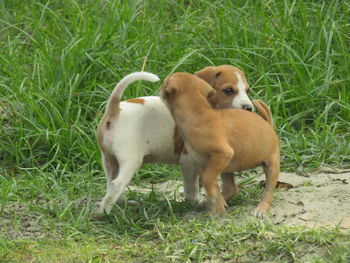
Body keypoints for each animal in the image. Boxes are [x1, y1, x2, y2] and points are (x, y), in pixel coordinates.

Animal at [95, 66, 254, 217]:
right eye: (228, 90)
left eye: (247, 91)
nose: (249, 108)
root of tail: (115, 110)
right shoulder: (189, 161)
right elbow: (191, 188)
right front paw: (194, 203)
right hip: (130, 161)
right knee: (116, 184)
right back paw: (103, 214)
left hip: (108, 160)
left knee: (110, 184)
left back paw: (122, 203)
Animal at [161, 72, 278, 219]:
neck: (197, 114)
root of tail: (268, 124)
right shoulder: (203, 162)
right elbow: (212, 185)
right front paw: (217, 205)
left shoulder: (223, 154)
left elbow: (208, 180)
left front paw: (216, 208)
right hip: (227, 169)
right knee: (230, 189)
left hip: (271, 164)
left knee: (269, 189)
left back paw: (261, 208)